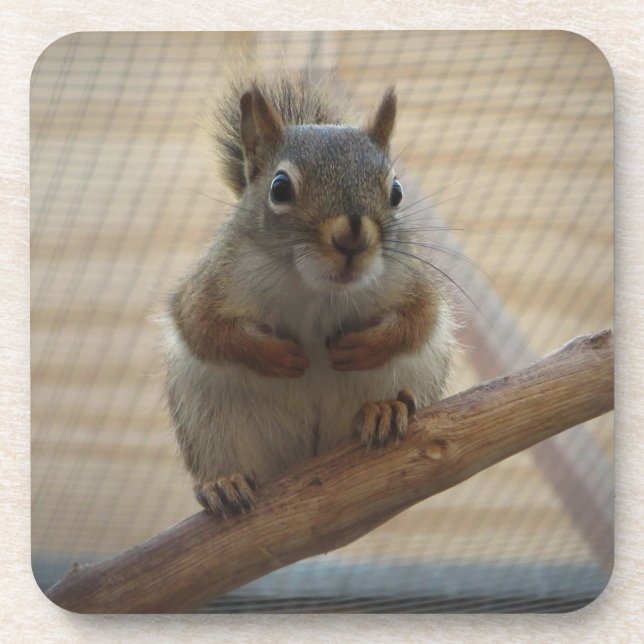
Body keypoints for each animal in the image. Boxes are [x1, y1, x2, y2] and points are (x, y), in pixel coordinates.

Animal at [163, 73, 454, 517]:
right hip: (209, 419)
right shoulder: (212, 283)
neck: (317, 288)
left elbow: (421, 318)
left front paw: (365, 348)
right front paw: (274, 355)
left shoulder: (409, 279)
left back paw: (383, 409)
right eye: (280, 188)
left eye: (397, 191)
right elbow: (203, 328)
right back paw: (223, 483)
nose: (352, 236)